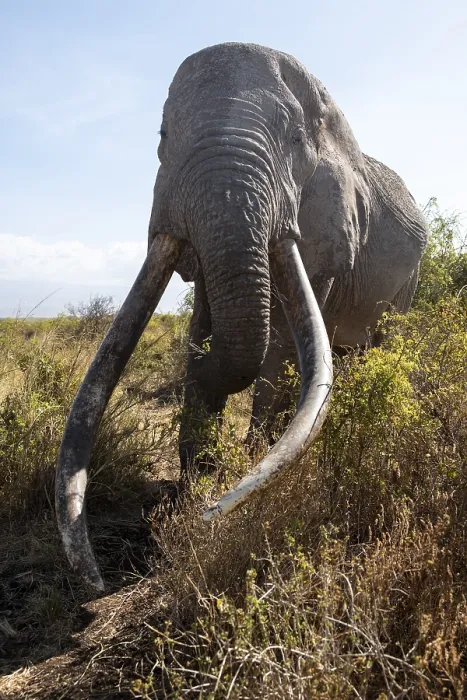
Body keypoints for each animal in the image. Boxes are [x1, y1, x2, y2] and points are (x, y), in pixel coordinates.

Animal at [55, 43, 428, 591]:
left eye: (294, 138)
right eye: (163, 136)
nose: (210, 508)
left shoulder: (327, 228)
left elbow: (281, 345)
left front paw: (230, 481)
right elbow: (208, 323)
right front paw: (190, 491)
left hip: (407, 284)